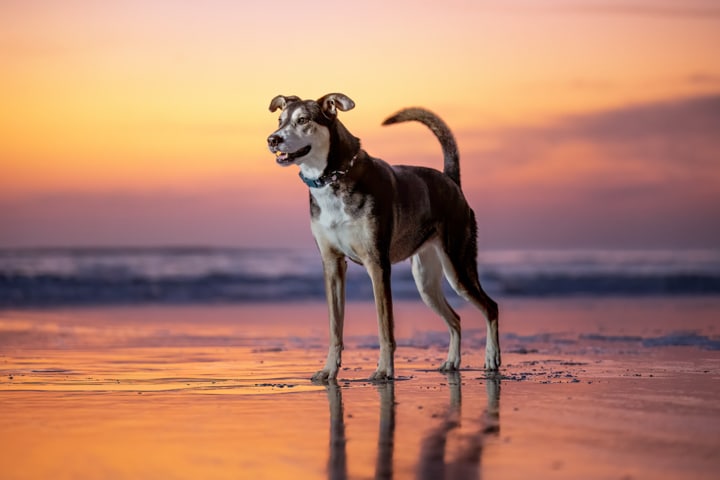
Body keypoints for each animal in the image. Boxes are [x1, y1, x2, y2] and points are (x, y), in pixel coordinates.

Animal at [266, 92, 500, 380]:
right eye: (280, 120)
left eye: (303, 120)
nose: (273, 139)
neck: (332, 179)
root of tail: (451, 181)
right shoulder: (332, 265)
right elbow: (335, 327)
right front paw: (329, 369)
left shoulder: (377, 264)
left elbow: (384, 325)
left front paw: (385, 369)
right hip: (425, 281)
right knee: (455, 318)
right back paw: (452, 362)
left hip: (458, 267)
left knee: (491, 307)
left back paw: (491, 358)